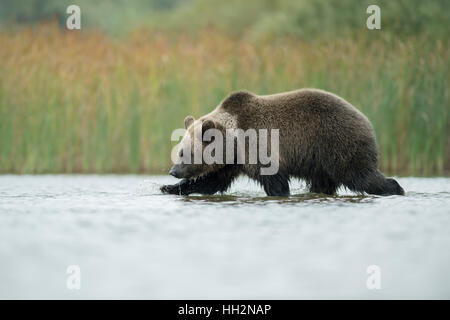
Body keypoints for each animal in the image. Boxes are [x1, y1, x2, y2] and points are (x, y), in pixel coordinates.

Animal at [161, 89, 404, 196]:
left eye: (185, 153)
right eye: (179, 151)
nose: (173, 171)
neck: (233, 141)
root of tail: (366, 120)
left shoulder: (257, 145)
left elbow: (274, 179)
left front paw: (279, 193)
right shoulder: (233, 161)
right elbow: (212, 181)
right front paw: (169, 188)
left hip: (338, 143)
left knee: (360, 175)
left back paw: (395, 188)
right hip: (321, 161)